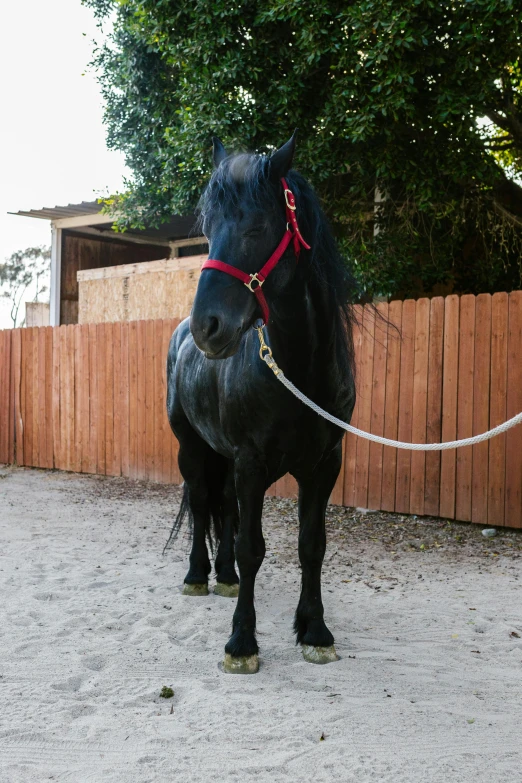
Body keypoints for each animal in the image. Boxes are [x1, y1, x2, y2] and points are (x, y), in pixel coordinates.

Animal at [165, 135, 356, 672]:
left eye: (257, 226)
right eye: (208, 230)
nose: (208, 326)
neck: (299, 374)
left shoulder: (324, 465)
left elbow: (312, 545)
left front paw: (315, 630)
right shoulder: (251, 462)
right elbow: (253, 547)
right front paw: (241, 643)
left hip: (227, 459)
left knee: (225, 509)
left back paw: (226, 577)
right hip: (192, 449)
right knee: (204, 505)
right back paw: (198, 576)